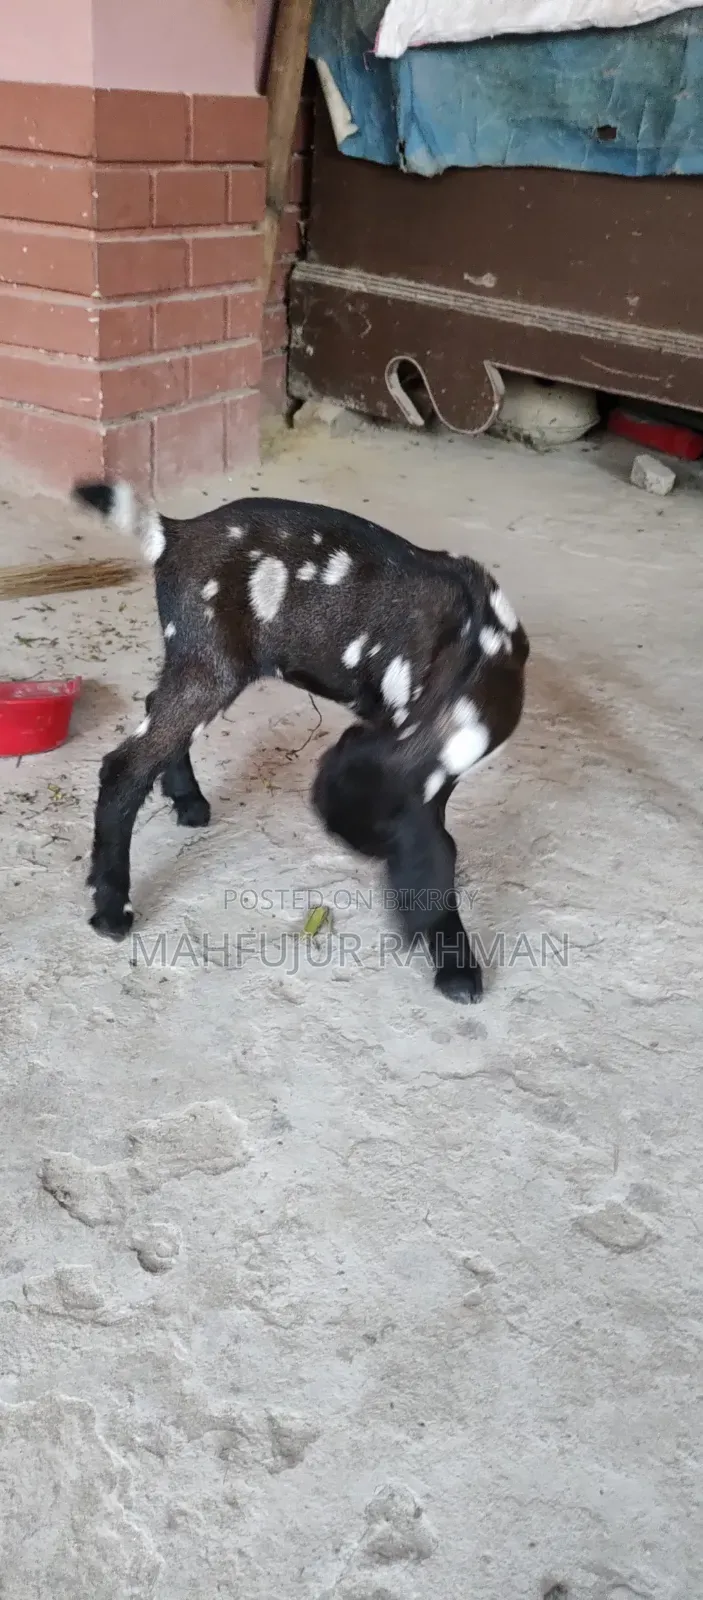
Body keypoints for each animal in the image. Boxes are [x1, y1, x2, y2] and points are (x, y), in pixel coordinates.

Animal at [72, 479, 529, 1003]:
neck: (470, 659)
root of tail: (176, 534)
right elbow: (439, 847)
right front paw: (456, 967)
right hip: (212, 662)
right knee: (125, 766)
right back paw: (112, 910)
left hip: (194, 662)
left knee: (156, 715)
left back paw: (188, 800)